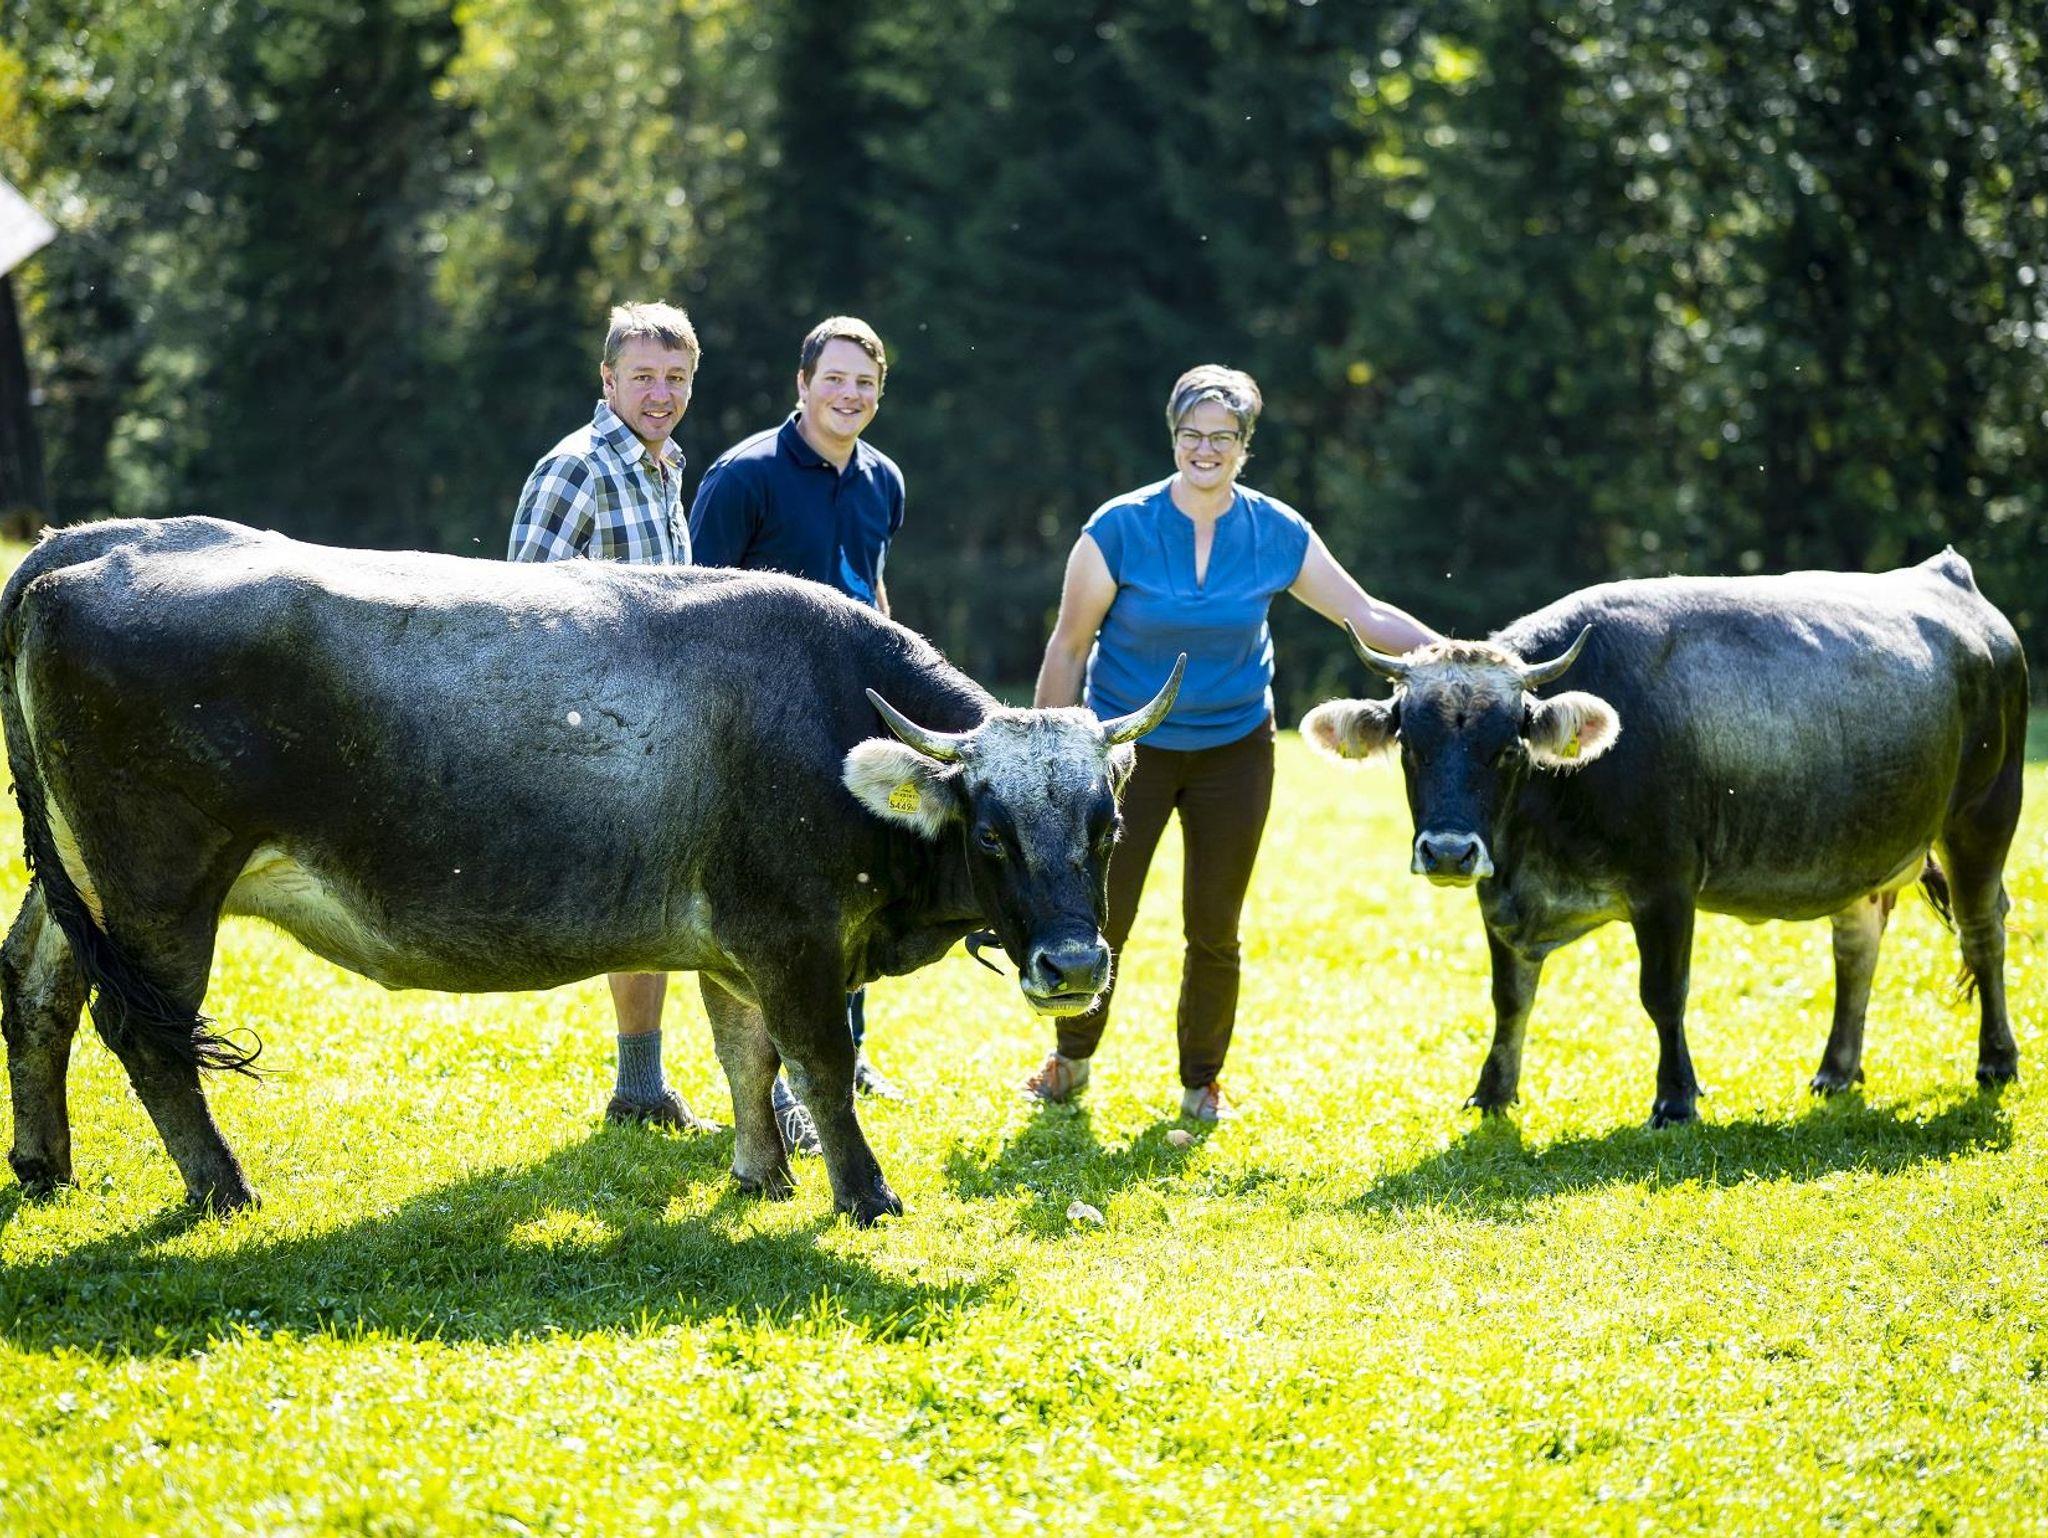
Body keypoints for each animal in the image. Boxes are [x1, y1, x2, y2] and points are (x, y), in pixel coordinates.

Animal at [0, 517, 1183, 1225]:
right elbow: (817, 1064)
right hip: (161, 888)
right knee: (144, 1032)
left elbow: (745, 1055)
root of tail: (86, 549)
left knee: (36, 990)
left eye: (1106, 822)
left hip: (79, 885)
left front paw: (761, 1173)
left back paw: (46, 1163)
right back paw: (223, 1185)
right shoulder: (794, 939)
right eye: (990, 831)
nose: (1075, 965)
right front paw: (862, 1193)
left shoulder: (733, 940)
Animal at [1302, 550, 2027, 1127]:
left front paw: (1676, 1098)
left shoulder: (1667, 886)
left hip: (1983, 816)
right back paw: (1836, 1069)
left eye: (1508, 748)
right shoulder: (1501, 895)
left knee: (1982, 931)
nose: (1450, 852)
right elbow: (1509, 999)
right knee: (1857, 946)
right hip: (1863, 848)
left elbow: (1663, 993)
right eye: (1410, 746)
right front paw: (1493, 1092)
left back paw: (1996, 1060)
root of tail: (1950, 579)